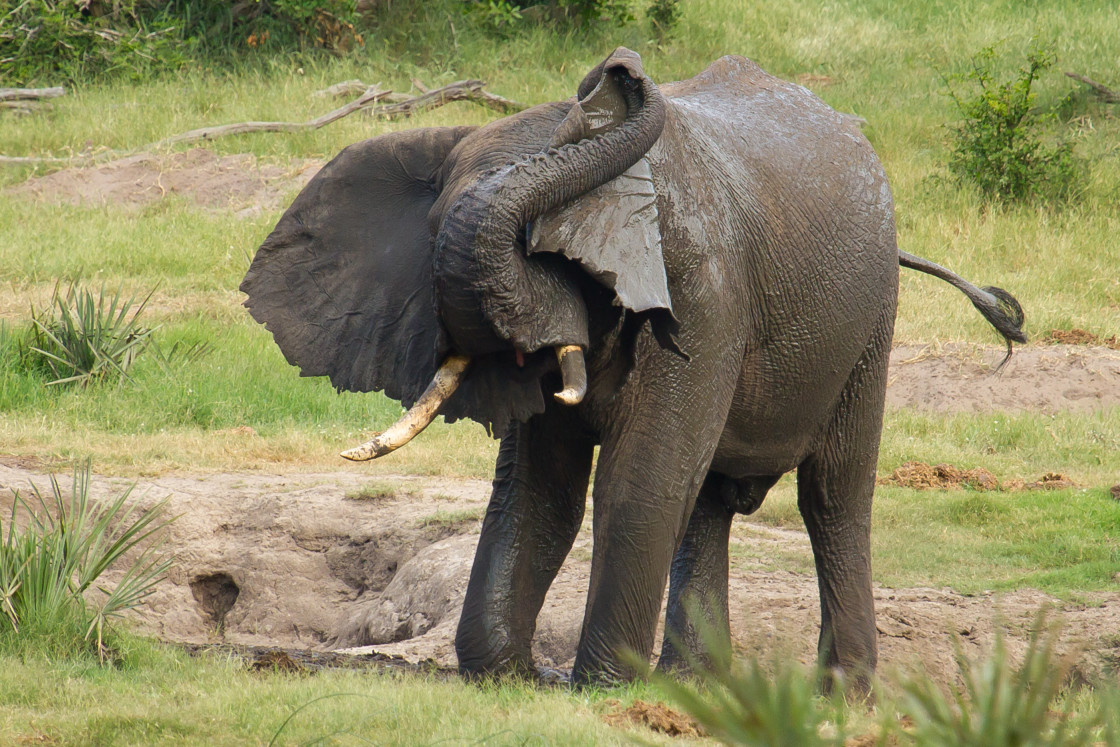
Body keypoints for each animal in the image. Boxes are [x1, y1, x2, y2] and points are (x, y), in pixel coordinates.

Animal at [240, 46, 1025, 689]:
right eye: (431, 235)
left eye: (540, 244)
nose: (619, 70)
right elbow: (540, 487)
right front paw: (510, 676)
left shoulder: (704, 294)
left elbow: (639, 478)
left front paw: (599, 686)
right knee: (709, 500)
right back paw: (693, 686)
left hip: (869, 324)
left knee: (833, 495)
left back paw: (840, 695)